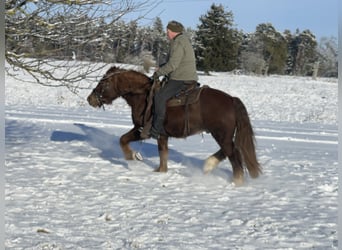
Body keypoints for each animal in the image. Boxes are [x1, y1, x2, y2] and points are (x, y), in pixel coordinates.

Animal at [87, 66, 260, 186]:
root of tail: (231, 99)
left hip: (221, 135)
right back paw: (209, 165)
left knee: (234, 155)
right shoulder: (156, 133)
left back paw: (236, 181)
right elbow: (153, 151)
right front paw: (149, 165)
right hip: (222, 136)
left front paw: (131, 157)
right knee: (231, 151)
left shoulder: (146, 130)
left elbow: (125, 140)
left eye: (103, 82)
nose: (90, 99)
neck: (142, 95)